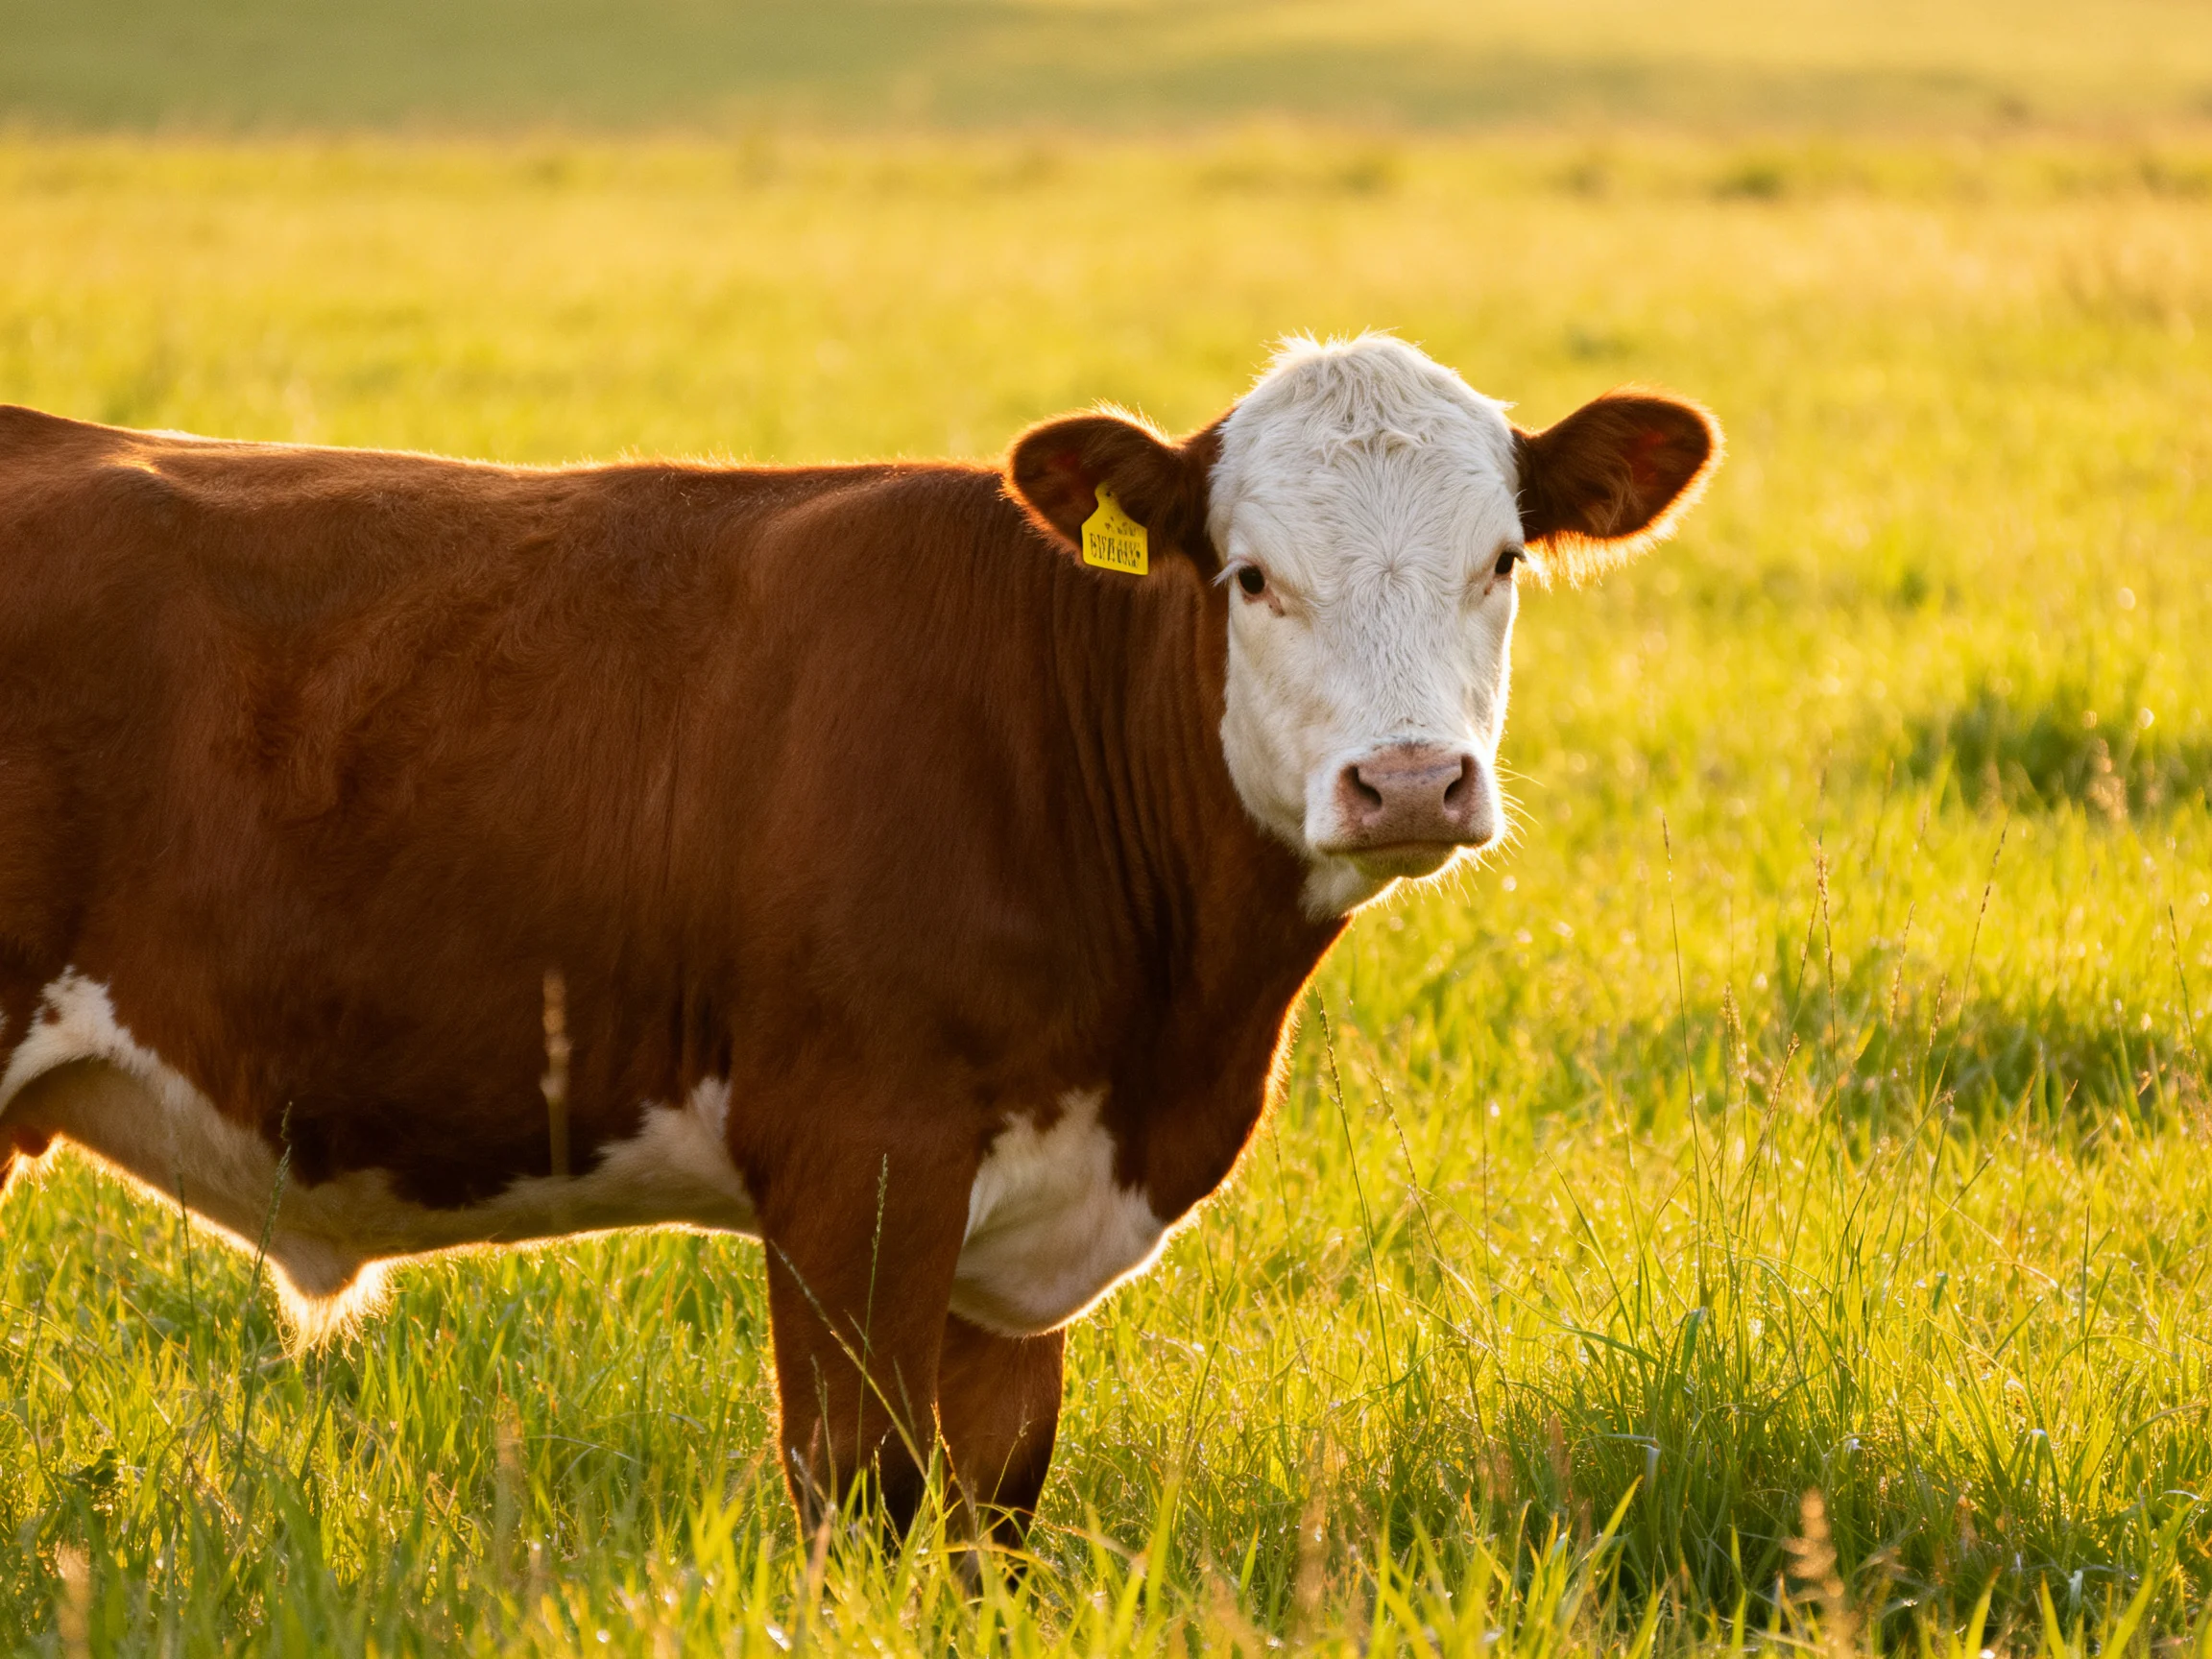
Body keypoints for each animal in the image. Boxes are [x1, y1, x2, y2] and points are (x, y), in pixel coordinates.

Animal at [0, 334, 1718, 1544]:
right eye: (1251, 577)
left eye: (1501, 561)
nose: (1410, 781)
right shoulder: (855, 1162)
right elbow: (863, 1495)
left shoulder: (1011, 1235)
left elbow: (987, 1514)